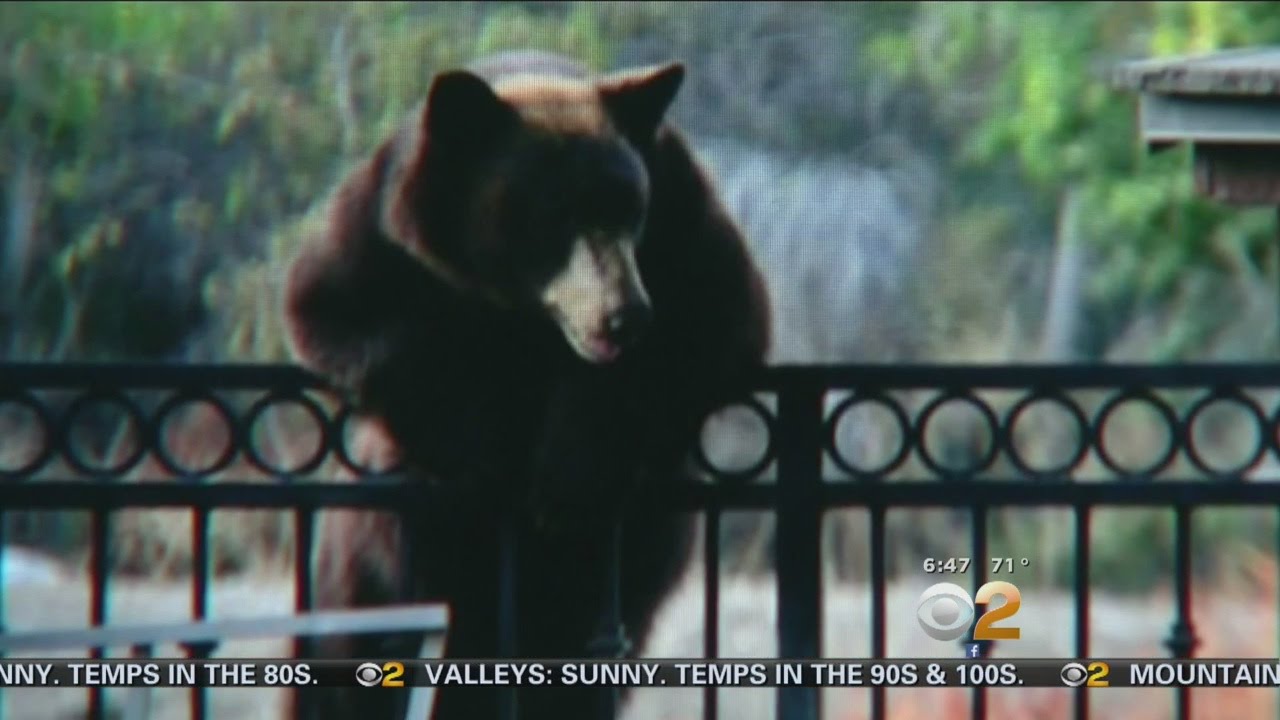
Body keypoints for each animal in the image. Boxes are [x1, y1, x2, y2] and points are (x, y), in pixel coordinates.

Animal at [283, 49, 771, 720]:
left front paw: (571, 476)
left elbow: (720, 317)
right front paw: (484, 445)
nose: (625, 315)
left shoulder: (681, 203)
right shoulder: (382, 223)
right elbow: (337, 311)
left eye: (633, 209)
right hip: (366, 565)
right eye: (558, 215)